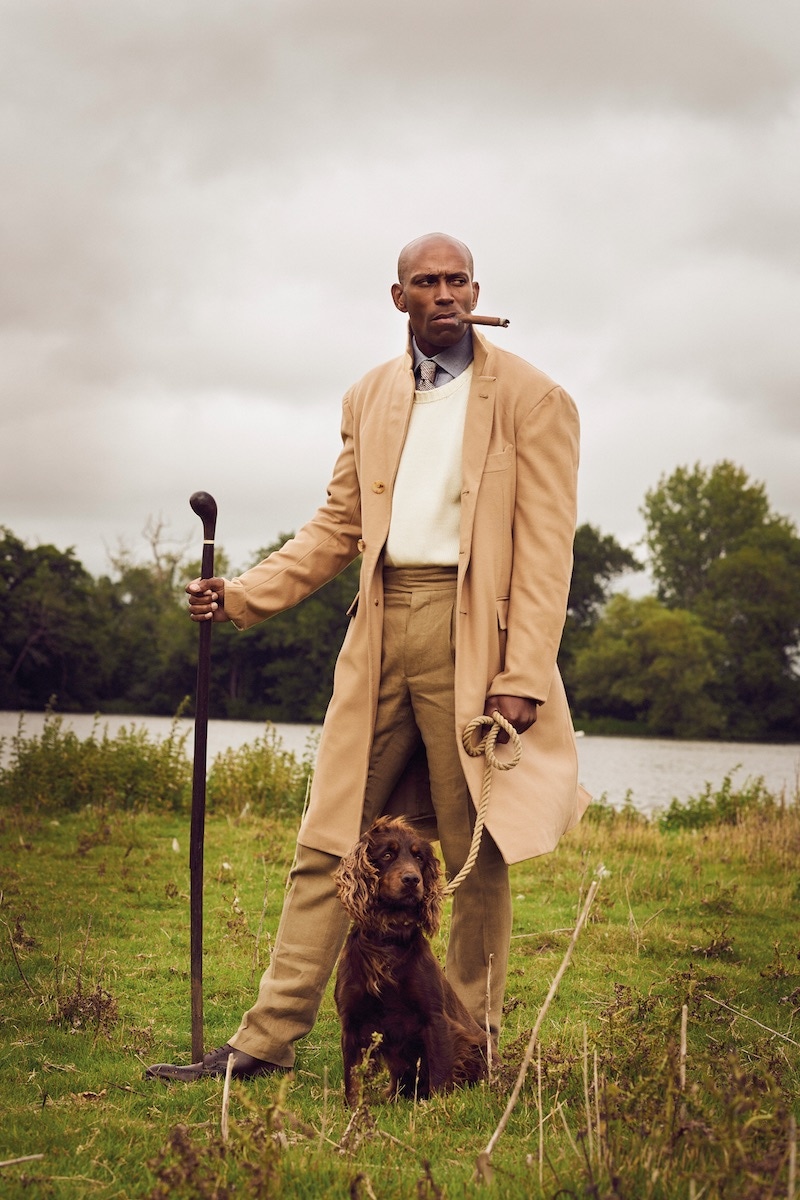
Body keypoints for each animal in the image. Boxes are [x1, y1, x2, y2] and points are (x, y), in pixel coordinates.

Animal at [331, 816, 489, 1104]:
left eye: (419, 857)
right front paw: (353, 1108)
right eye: (387, 855)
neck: (387, 939)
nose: (412, 879)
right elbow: (353, 1078)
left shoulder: (435, 1018)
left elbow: (439, 1072)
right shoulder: (352, 1022)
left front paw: (434, 1107)